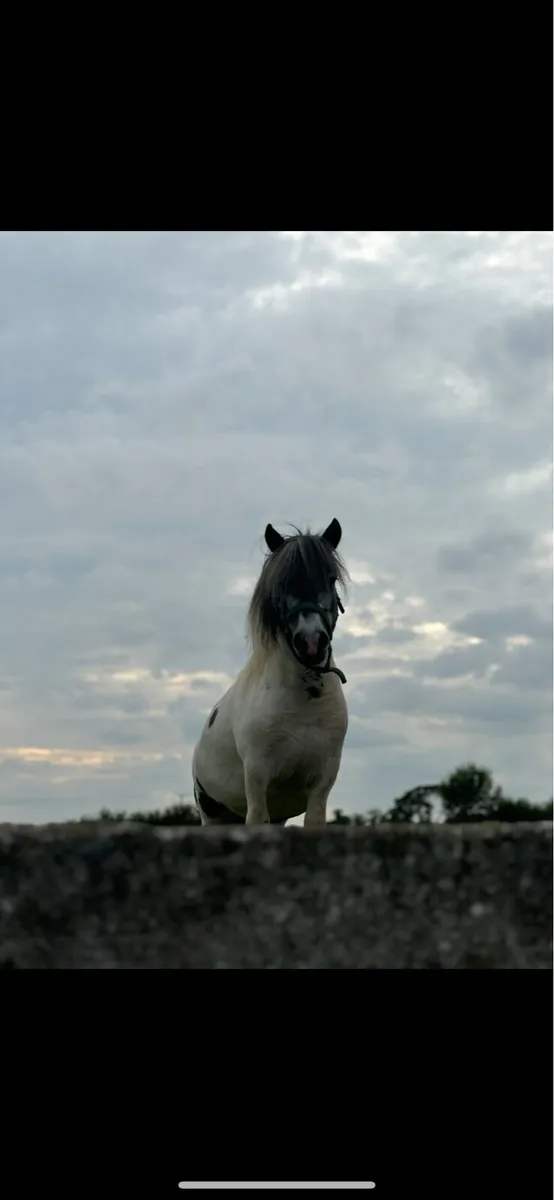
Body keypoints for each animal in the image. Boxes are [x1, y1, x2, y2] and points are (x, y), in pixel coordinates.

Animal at [192, 517, 349, 827]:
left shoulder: (323, 782)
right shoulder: (256, 779)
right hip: (211, 813)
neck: (304, 702)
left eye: (331, 578)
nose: (311, 642)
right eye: (281, 584)